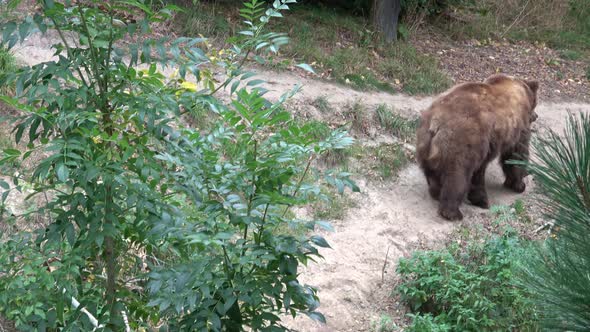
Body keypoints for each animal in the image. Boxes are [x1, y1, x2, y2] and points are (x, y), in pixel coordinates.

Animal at [416, 73, 540, 220]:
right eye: (536, 104)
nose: (536, 116)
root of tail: (436, 123)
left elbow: (480, 172)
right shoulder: (517, 127)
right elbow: (516, 155)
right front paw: (519, 184)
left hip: (425, 143)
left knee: (432, 172)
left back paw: (436, 192)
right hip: (460, 142)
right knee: (457, 176)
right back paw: (453, 212)